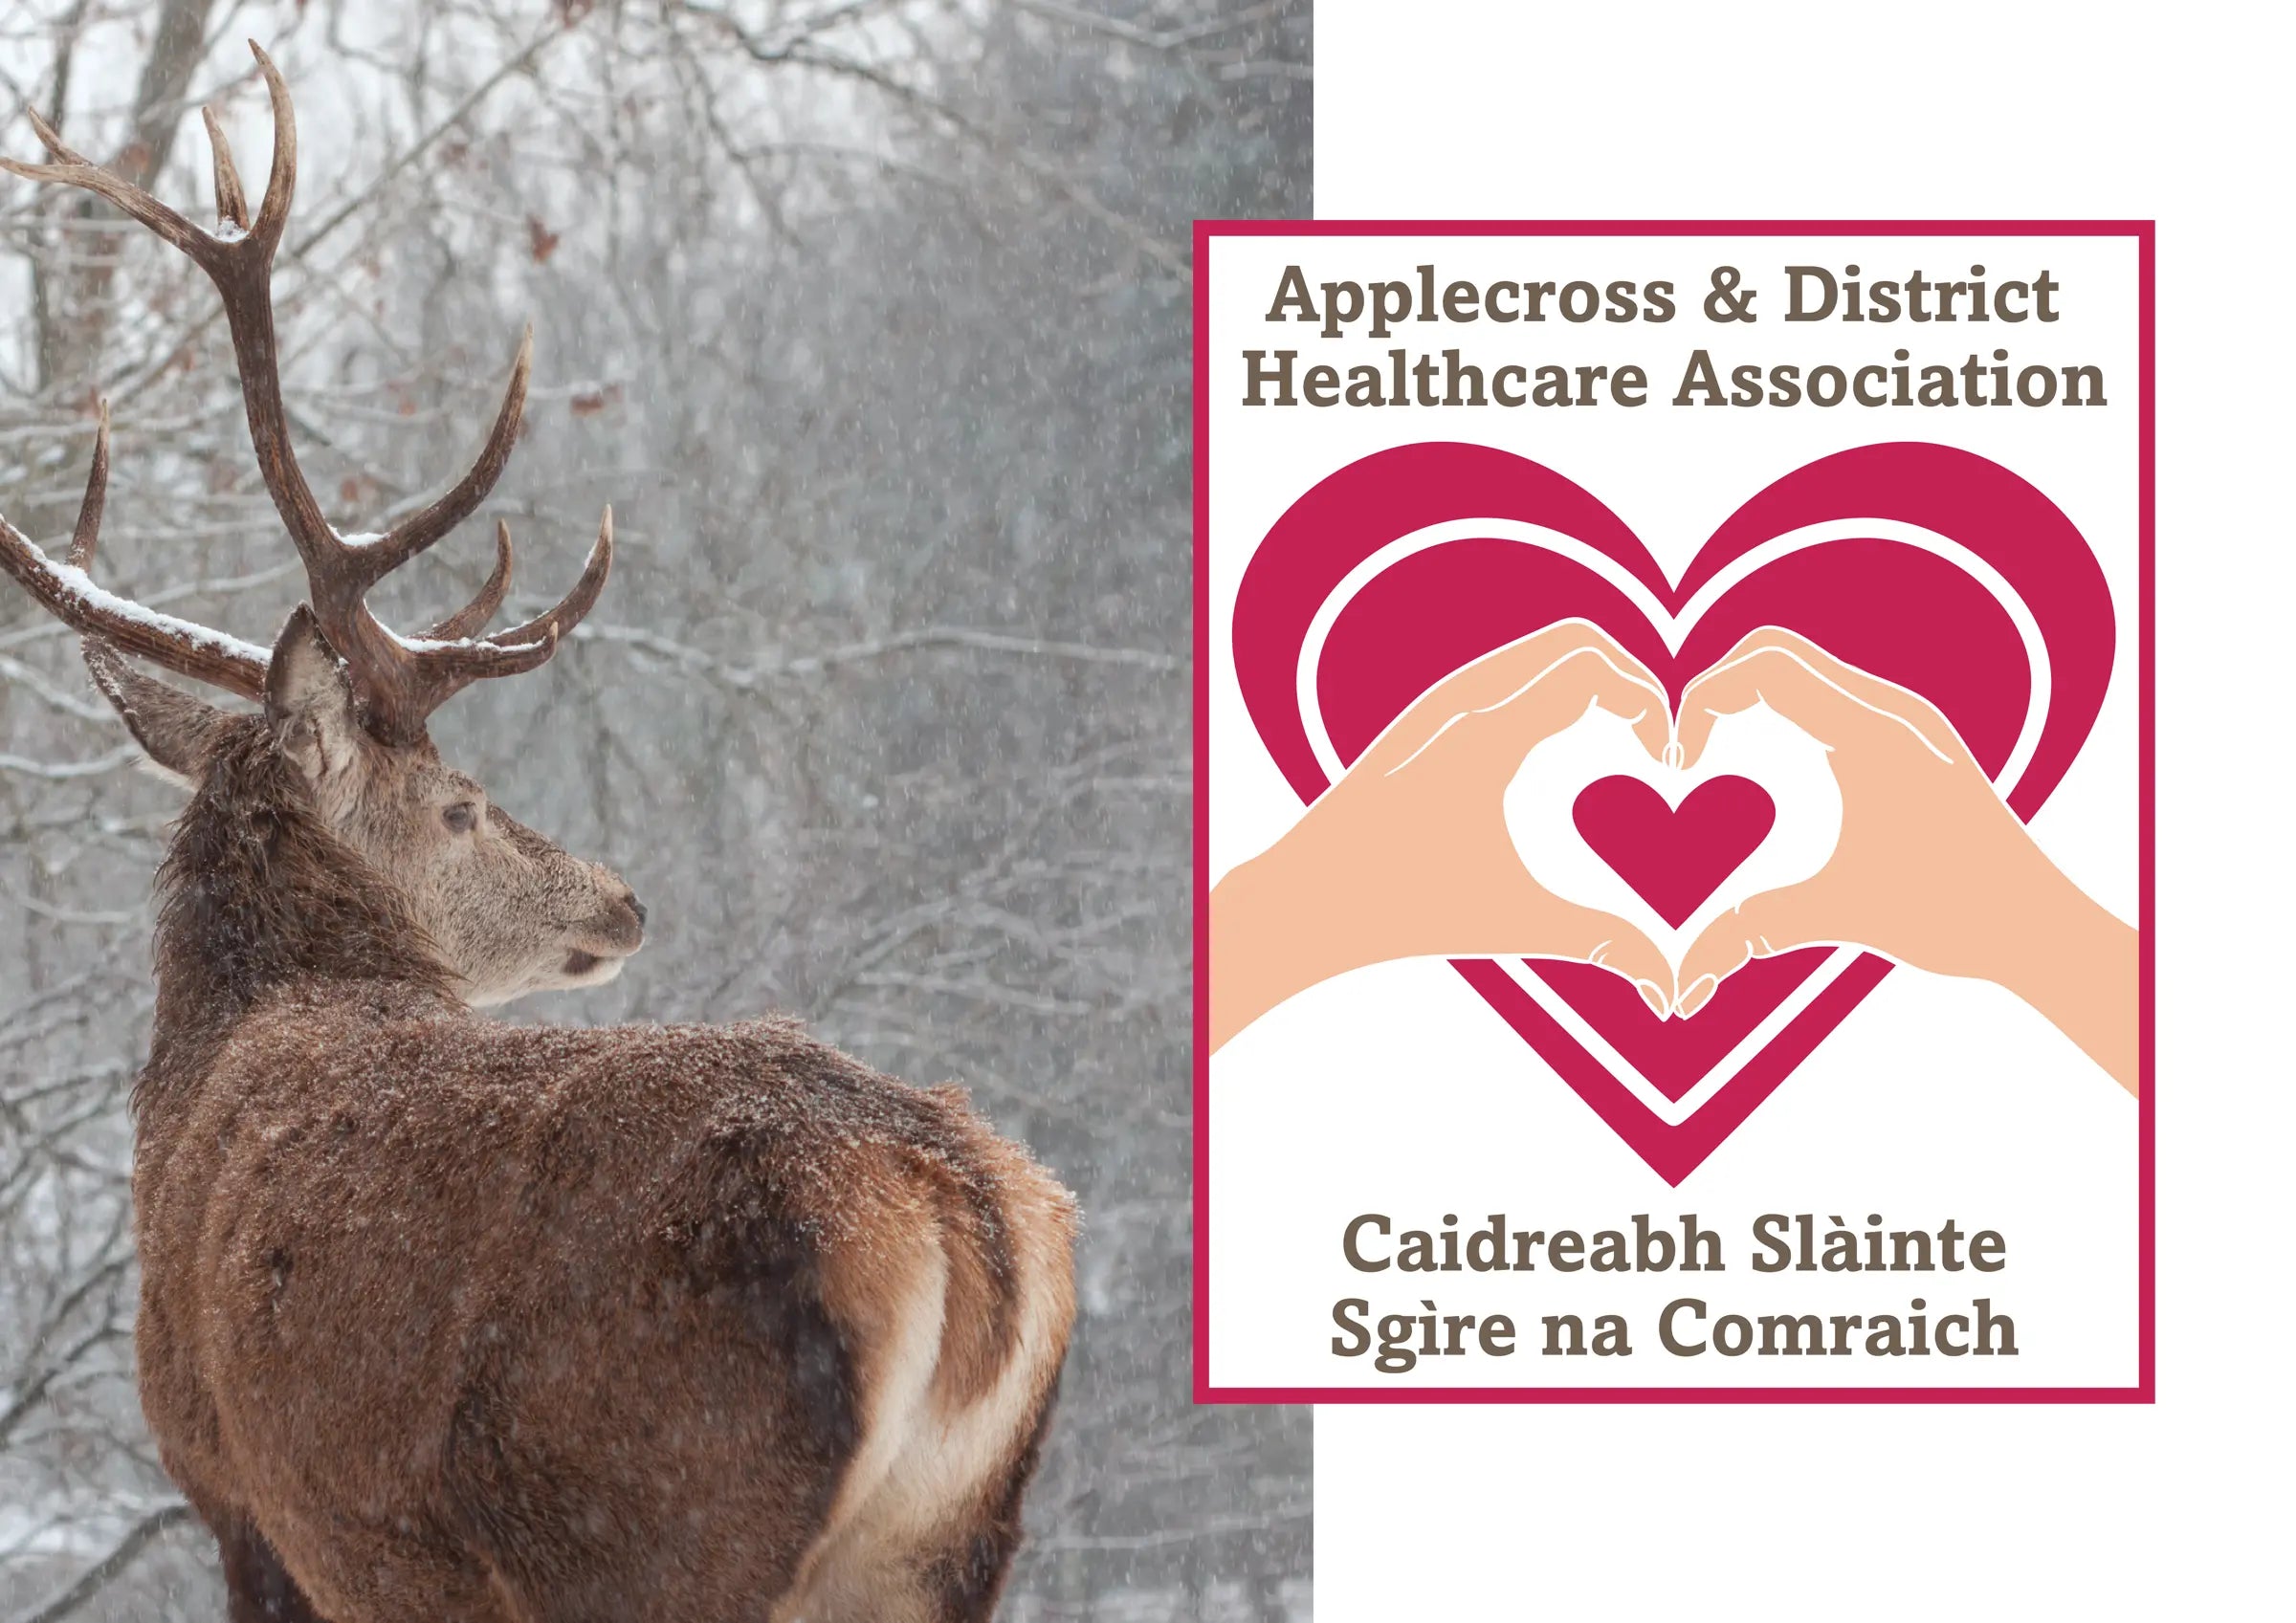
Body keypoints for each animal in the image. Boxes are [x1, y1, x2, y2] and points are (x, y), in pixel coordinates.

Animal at [0, 44, 1076, 1623]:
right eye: (458, 804)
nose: (622, 897)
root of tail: (973, 1219)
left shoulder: (238, 1489)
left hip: (657, 1506)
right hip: (948, 1540)